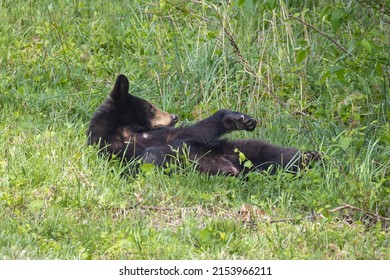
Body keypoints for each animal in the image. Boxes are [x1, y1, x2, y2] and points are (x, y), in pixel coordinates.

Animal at [87, 74, 320, 175]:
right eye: (150, 107)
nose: (174, 116)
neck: (126, 133)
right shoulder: (113, 151)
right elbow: (142, 160)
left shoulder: (166, 135)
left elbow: (192, 132)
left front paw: (236, 118)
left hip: (242, 149)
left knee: (278, 154)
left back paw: (311, 157)